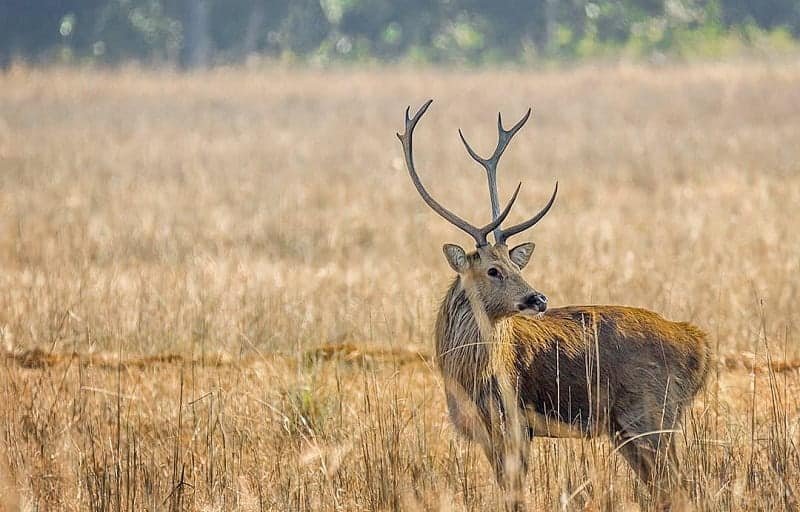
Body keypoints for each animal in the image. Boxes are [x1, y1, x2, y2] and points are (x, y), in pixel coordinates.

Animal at [396, 99, 708, 508]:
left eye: (516, 264)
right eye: (494, 269)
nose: (538, 298)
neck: (466, 375)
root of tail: (700, 347)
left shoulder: (512, 419)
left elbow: (515, 496)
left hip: (651, 411)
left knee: (679, 486)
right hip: (628, 427)